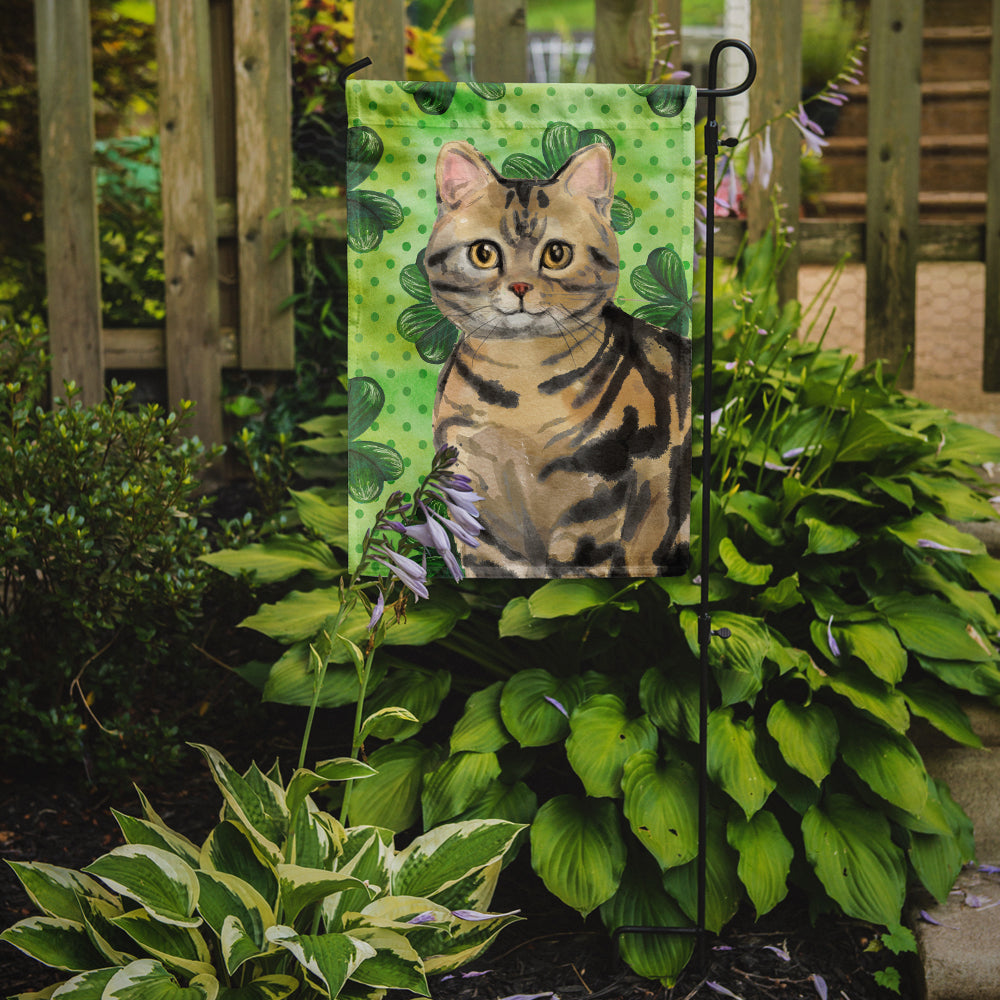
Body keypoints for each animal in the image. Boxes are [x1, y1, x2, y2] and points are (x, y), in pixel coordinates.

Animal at [426, 140, 692, 580]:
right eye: (483, 253)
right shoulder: (477, 499)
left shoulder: (599, 490)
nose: (519, 287)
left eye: (556, 254)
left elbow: (573, 576)